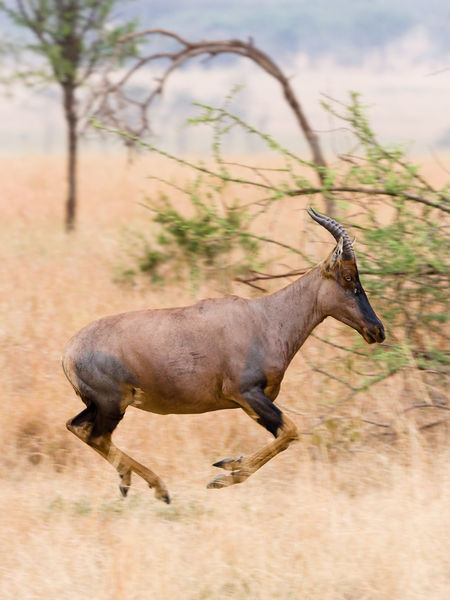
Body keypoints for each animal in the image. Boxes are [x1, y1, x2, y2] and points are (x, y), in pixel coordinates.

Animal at [61, 209, 384, 504]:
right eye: (348, 277)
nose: (377, 330)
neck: (266, 317)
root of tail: (68, 352)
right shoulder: (246, 393)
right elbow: (290, 431)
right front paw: (224, 473)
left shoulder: (249, 401)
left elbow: (286, 434)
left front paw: (228, 466)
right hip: (113, 405)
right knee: (96, 435)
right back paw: (159, 488)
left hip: (101, 405)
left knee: (77, 427)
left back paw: (138, 482)